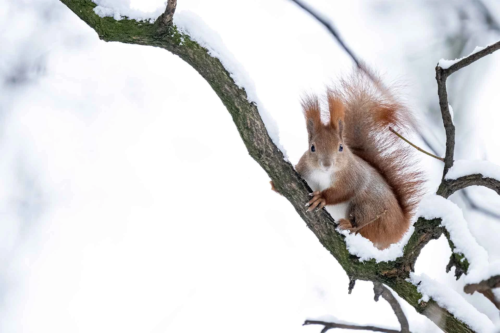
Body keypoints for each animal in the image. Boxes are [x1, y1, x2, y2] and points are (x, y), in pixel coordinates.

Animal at [294, 72, 424, 249]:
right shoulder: (305, 169)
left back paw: (349, 225)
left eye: (341, 147)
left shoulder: (353, 176)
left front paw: (323, 198)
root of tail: (399, 229)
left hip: (368, 209)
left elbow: (343, 191)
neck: (323, 174)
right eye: (312, 147)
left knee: (365, 230)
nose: (327, 165)